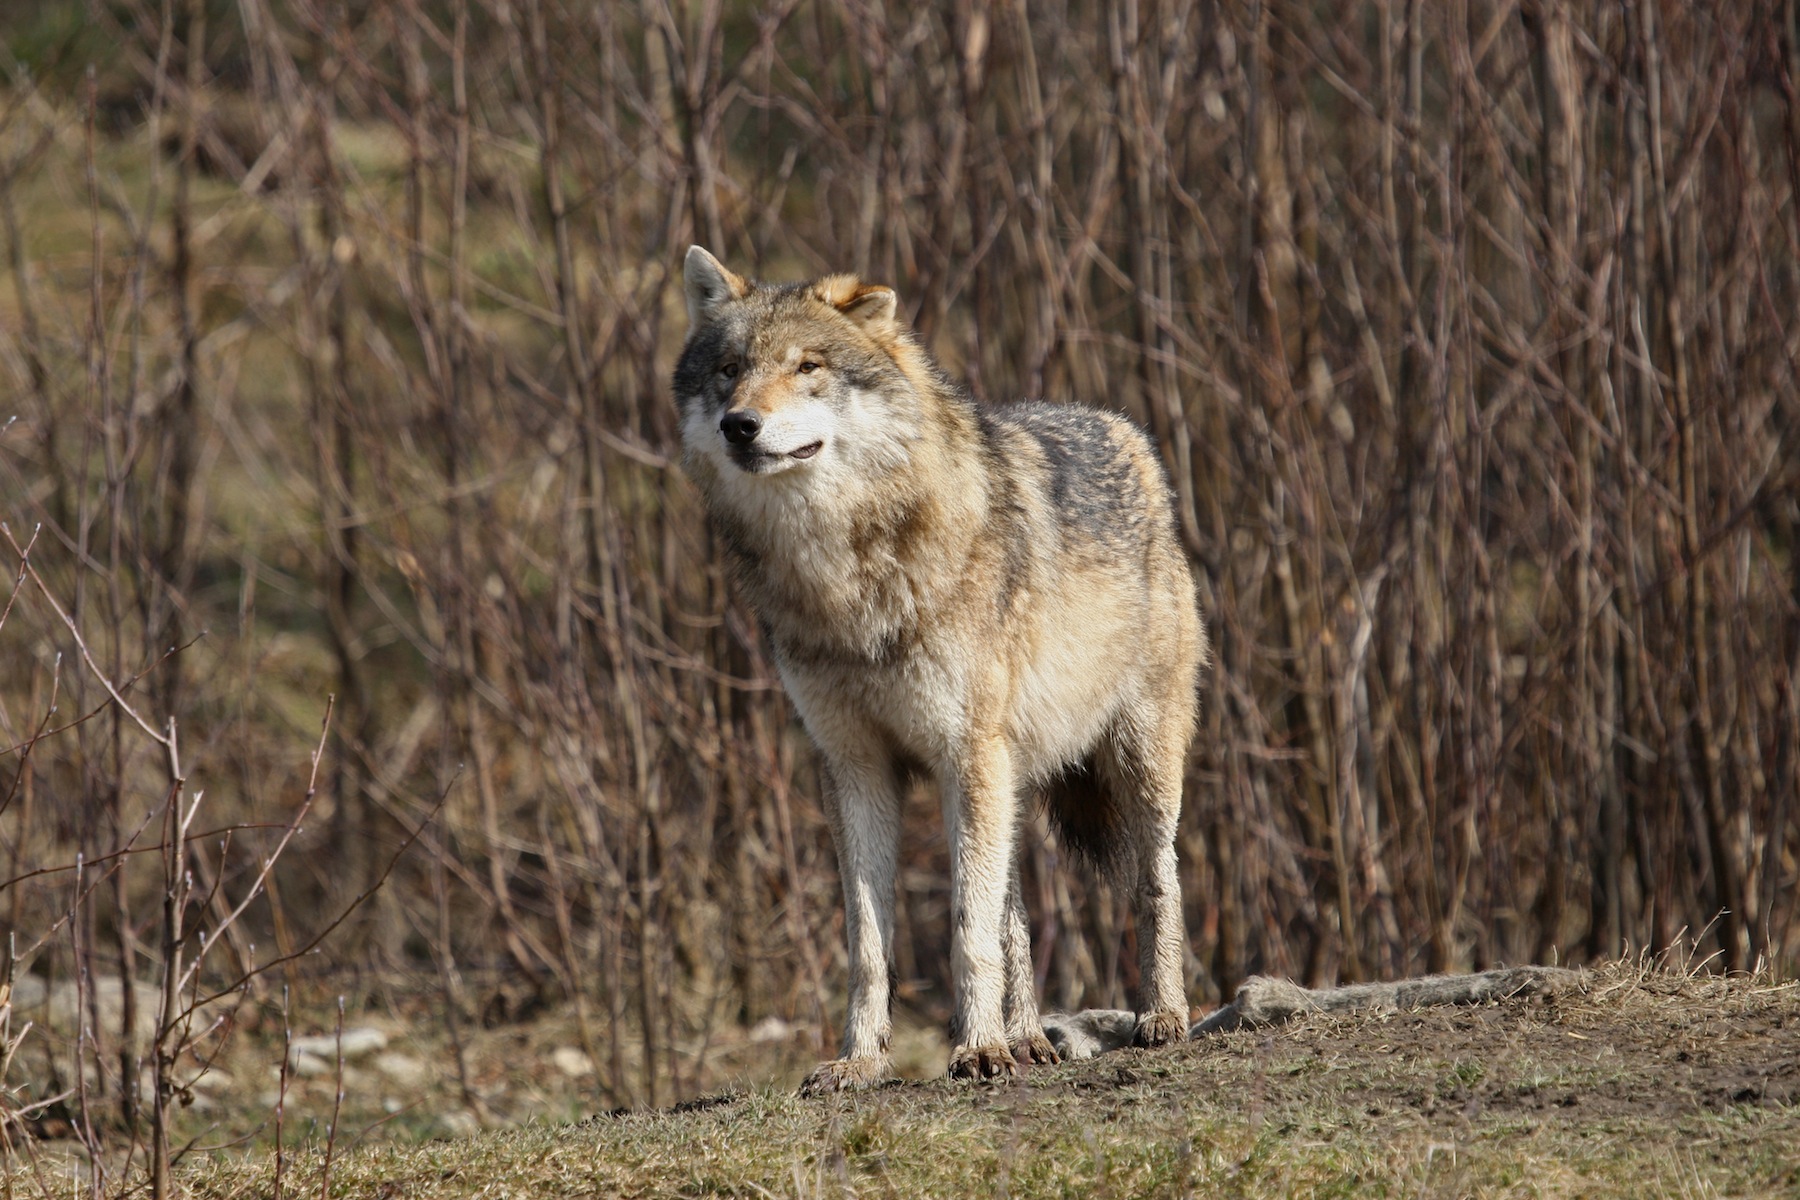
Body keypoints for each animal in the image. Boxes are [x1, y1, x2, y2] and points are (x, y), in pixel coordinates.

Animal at [676, 248, 1209, 1093]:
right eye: (729, 370)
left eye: (807, 366)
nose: (740, 425)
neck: (847, 576)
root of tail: (1128, 431)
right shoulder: (854, 766)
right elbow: (870, 945)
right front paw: (862, 1061)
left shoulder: (966, 755)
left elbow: (967, 930)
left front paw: (977, 1050)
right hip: (1007, 777)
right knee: (1015, 912)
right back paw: (1027, 1038)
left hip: (1134, 761)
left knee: (1156, 879)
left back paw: (1159, 1016)